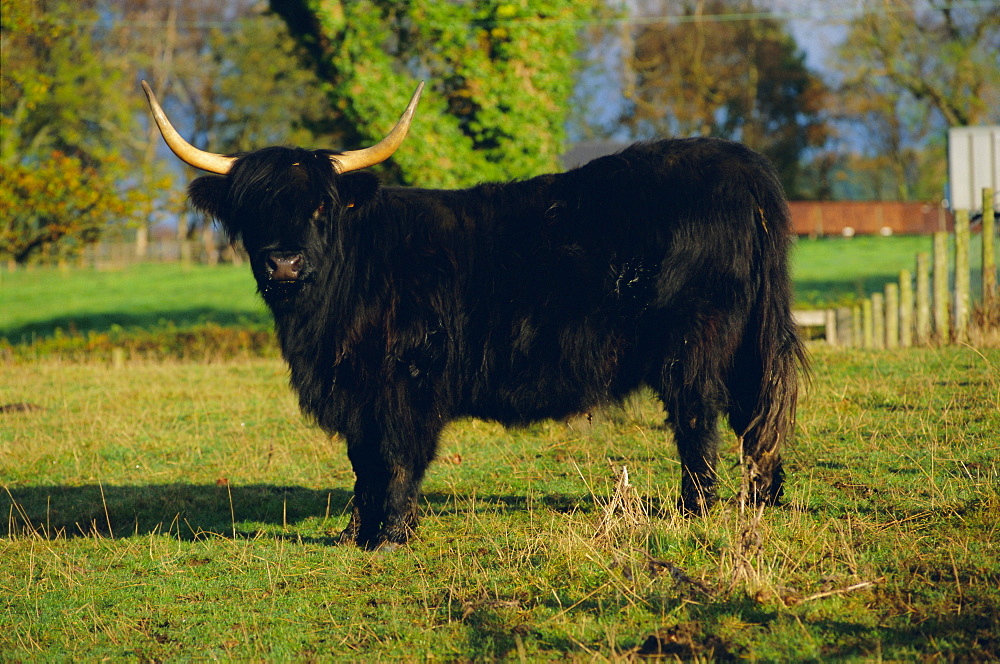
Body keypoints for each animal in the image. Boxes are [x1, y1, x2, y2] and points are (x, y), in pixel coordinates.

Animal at [145, 83, 808, 548]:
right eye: (252, 210)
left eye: (318, 207)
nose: (282, 263)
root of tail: (742, 165)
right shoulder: (357, 390)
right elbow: (362, 462)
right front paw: (354, 534)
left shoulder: (405, 382)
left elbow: (395, 457)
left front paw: (390, 537)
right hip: (747, 340)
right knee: (755, 416)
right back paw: (761, 502)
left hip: (693, 345)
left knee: (700, 422)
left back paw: (693, 511)